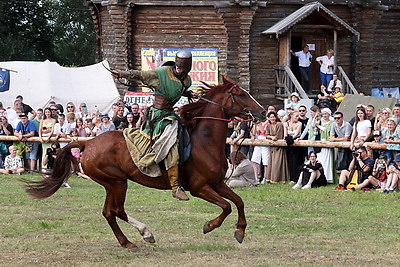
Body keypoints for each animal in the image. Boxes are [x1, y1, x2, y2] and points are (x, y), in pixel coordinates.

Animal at [26, 77, 268, 249]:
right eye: (241, 94)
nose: (263, 112)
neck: (203, 141)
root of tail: (89, 142)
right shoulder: (200, 188)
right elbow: (227, 206)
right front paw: (209, 226)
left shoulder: (217, 184)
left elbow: (238, 202)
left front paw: (240, 231)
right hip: (118, 182)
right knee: (116, 210)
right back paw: (144, 234)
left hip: (112, 184)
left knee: (109, 212)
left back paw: (128, 241)